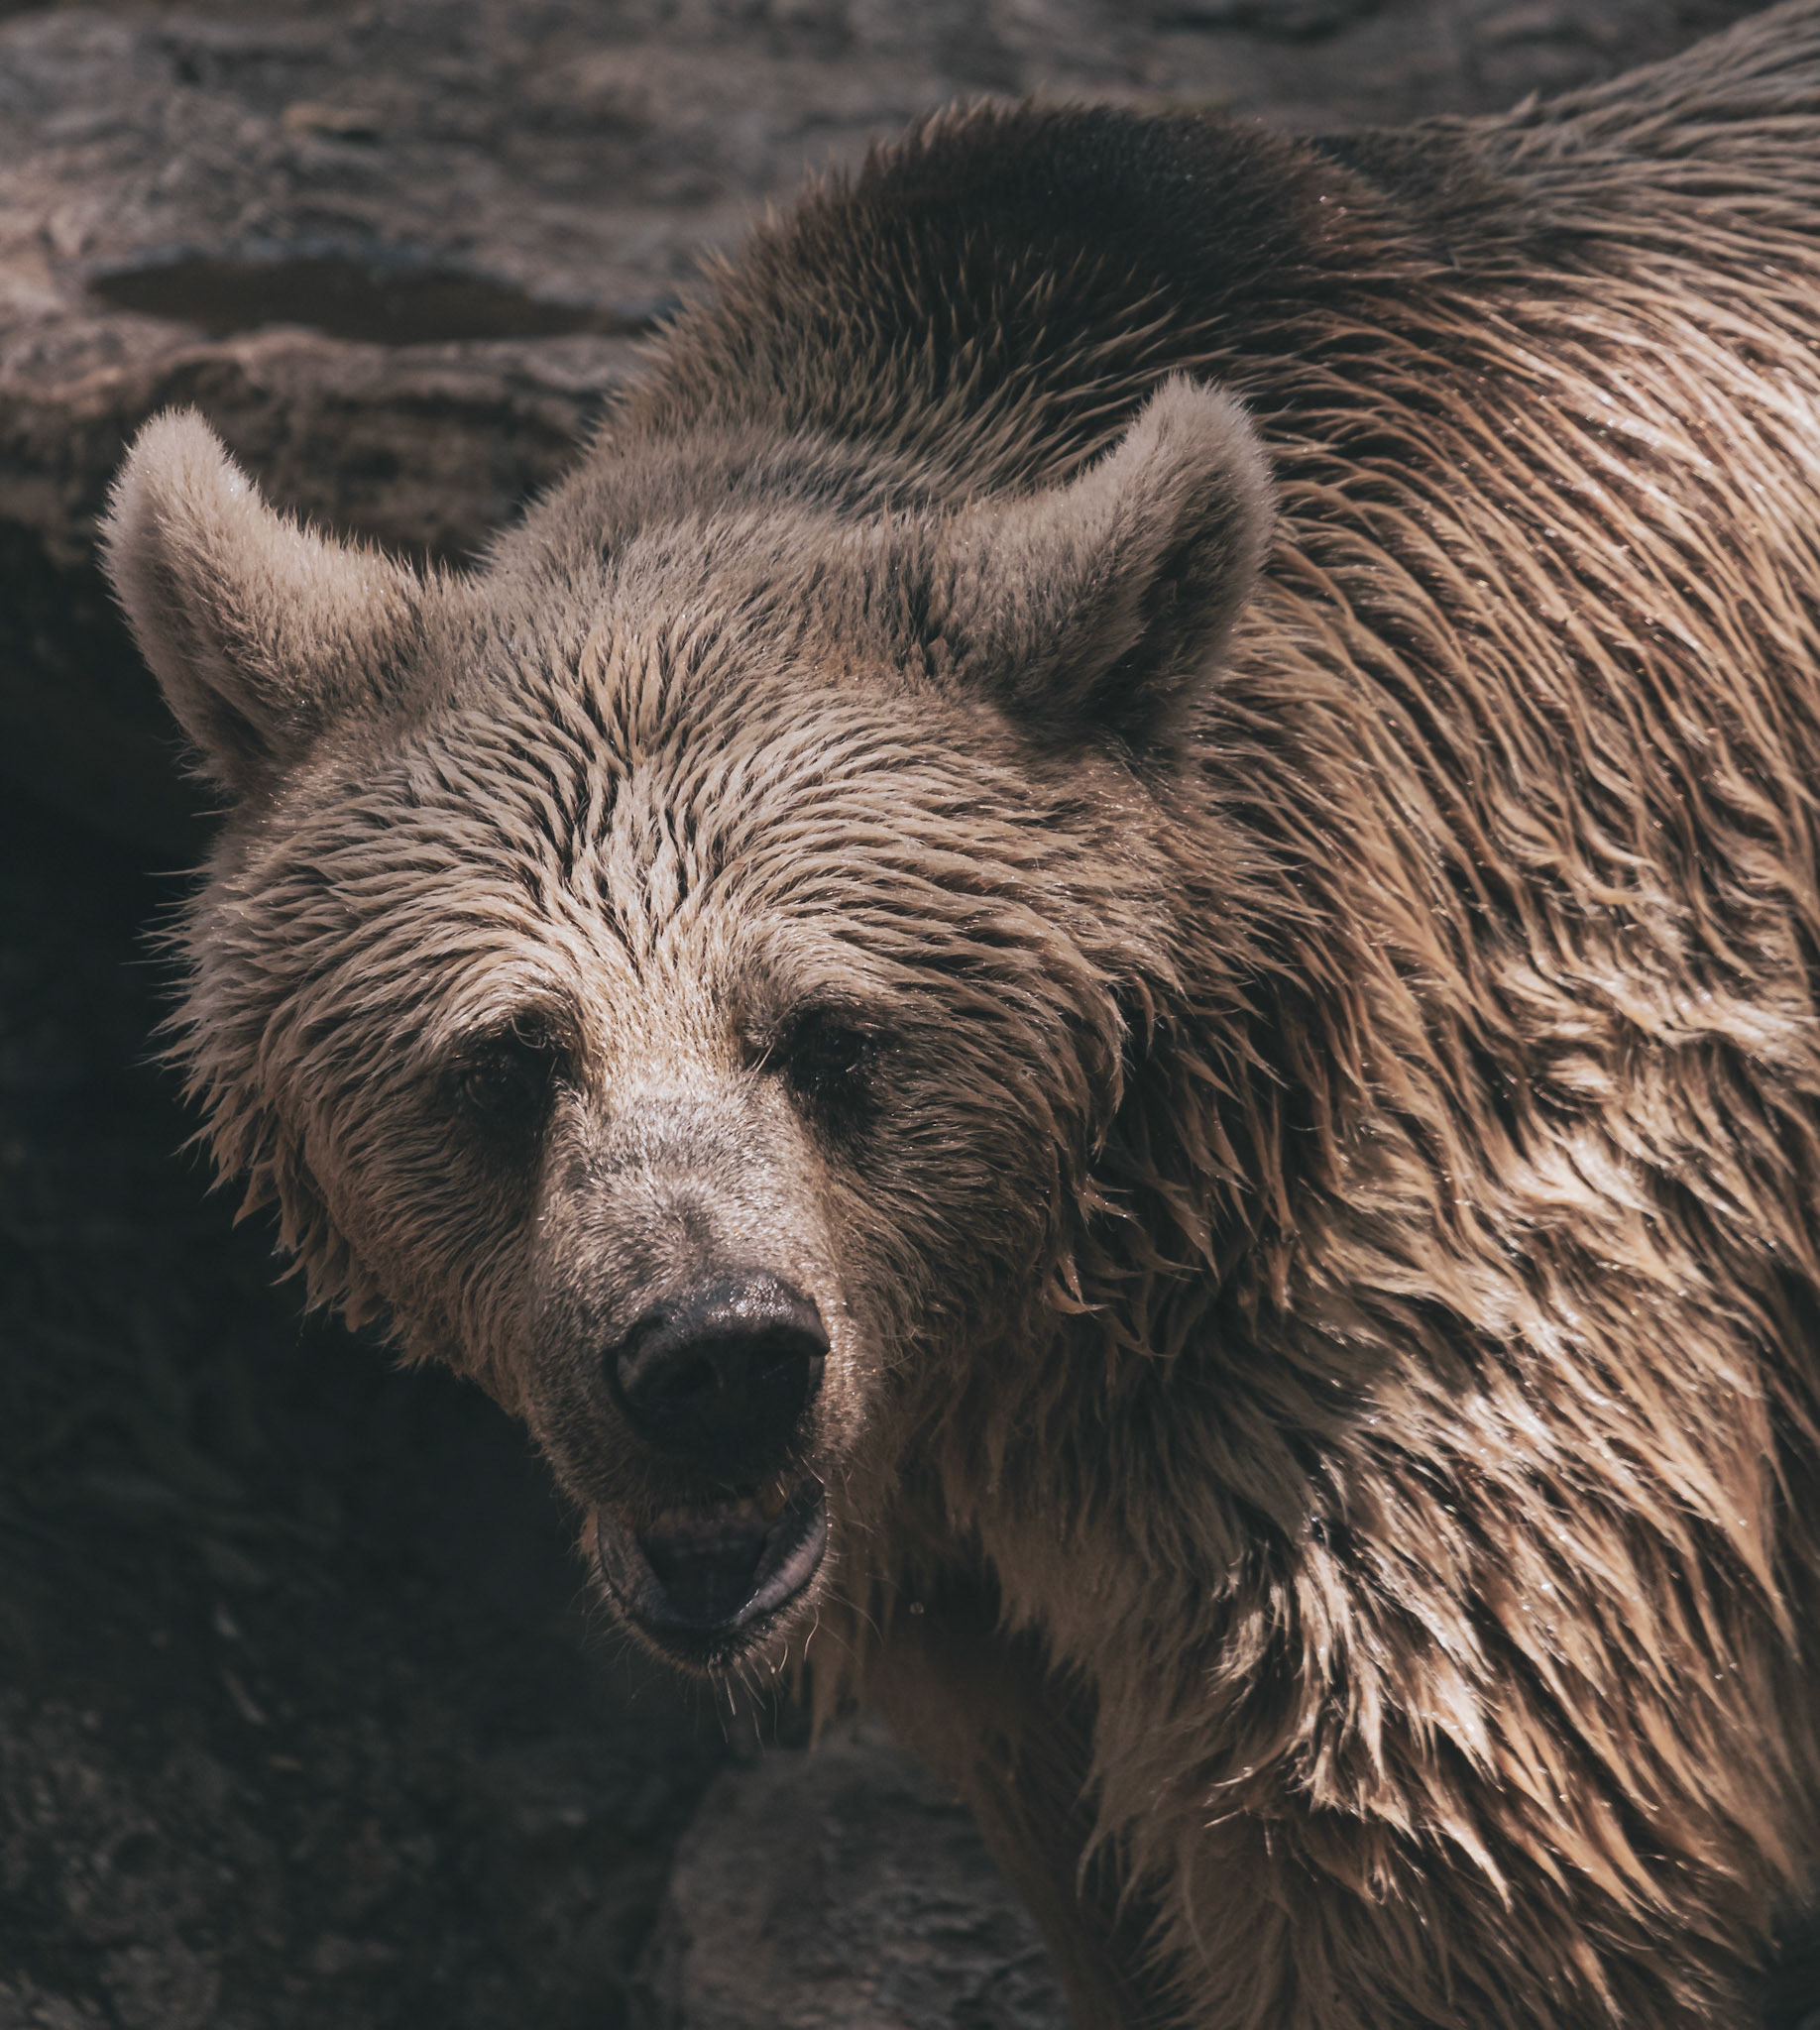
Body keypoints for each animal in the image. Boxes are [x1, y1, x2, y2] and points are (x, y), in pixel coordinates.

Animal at [99, 3, 1820, 2023]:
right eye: (510, 1059)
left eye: (836, 1033)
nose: (712, 1359)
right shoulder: (962, 1566)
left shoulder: (1439, 1281)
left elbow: (1437, 1839)